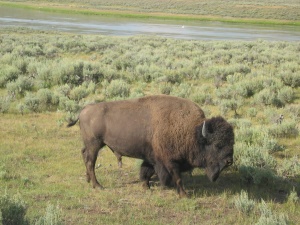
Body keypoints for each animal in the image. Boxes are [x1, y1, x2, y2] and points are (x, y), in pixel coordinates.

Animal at [68, 95, 234, 197]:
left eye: (232, 142)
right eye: (217, 145)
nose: (229, 161)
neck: (192, 131)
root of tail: (84, 110)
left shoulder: (152, 157)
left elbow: (146, 172)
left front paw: (145, 186)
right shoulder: (169, 161)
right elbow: (177, 178)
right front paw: (183, 194)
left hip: (91, 145)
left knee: (84, 156)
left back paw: (88, 180)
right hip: (94, 145)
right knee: (91, 162)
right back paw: (98, 185)